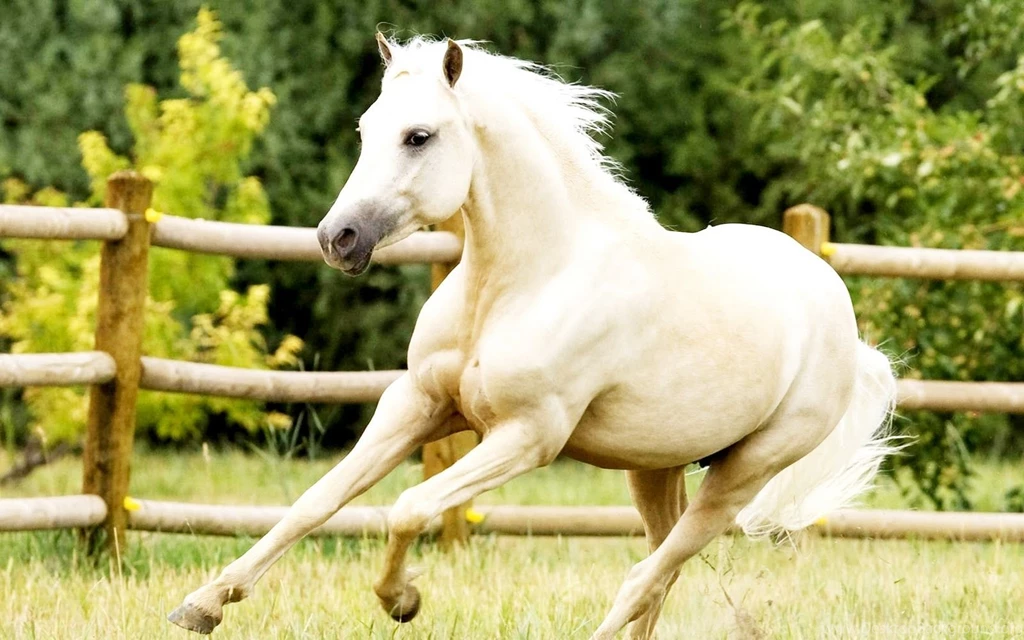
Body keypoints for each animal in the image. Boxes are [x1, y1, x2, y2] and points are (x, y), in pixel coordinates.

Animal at [169, 34, 897, 639]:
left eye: (418, 136)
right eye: (366, 129)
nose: (337, 239)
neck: (522, 283)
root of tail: (840, 315)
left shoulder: (527, 436)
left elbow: (408, 506)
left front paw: (401, 600)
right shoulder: (417, 404)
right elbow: (316, 501)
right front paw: (203, 605)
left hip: (745, 473)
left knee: (646, 576)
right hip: (655, 466)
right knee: (661, 571)